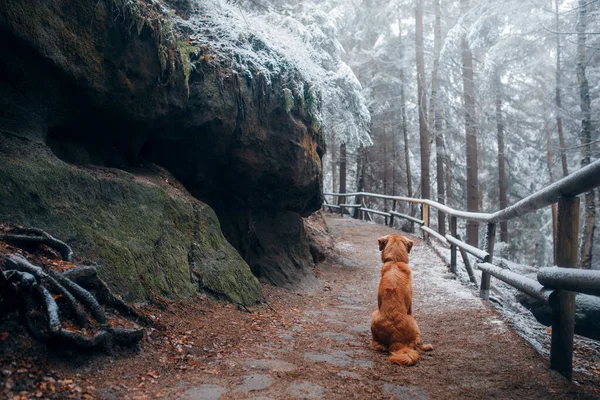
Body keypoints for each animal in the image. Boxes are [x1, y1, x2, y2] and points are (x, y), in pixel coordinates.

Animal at [368, 234, 434, 366]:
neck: (395, 261)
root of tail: (396, 341)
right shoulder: (411, 305)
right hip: (414, 322)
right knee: (416, 346)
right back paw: (428, 346)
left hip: (374, 316)